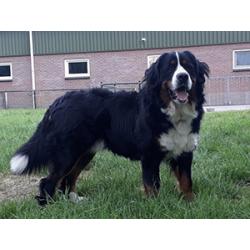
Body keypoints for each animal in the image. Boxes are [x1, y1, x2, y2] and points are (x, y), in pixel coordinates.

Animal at [9, 50, 209, 205]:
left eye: (188, 67)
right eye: (170, 67)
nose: (182, 76)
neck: (172, 112)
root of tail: (59, 101)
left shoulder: (184, 151)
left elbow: (186, 181)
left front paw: (191, 203)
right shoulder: (149, 155)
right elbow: (152, 185)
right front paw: (155, 206)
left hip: (84, 152)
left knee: (68, 178)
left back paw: (75, 201)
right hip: (67, 152)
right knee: (49, 180)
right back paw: (49, 206)